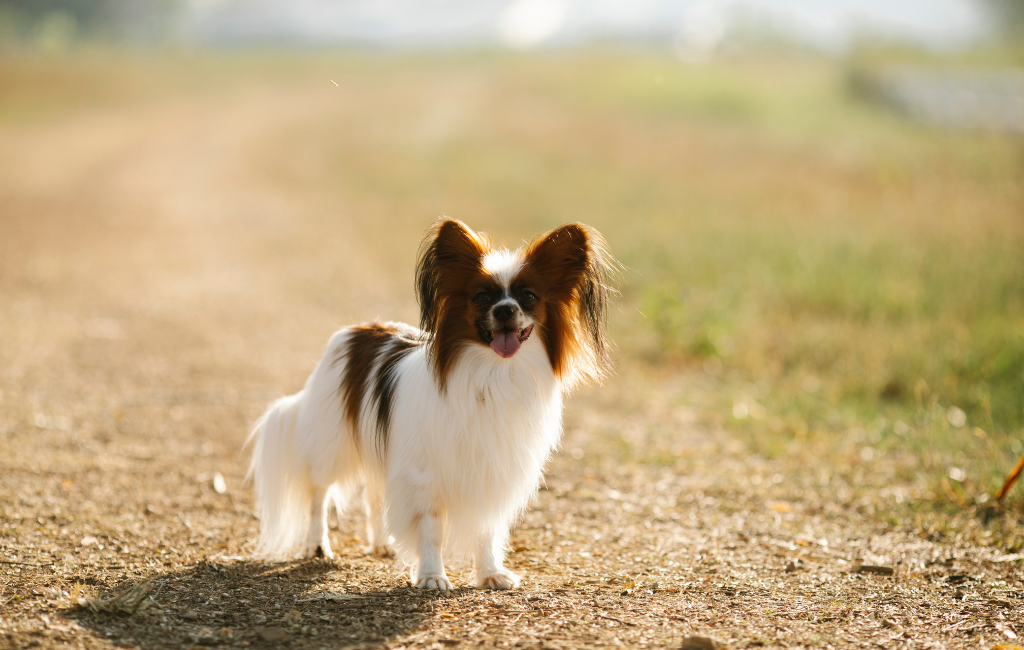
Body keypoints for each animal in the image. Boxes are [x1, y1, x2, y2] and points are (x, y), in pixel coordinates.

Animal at [247, 219, 614, 589]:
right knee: (319, 493)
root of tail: (357, 329)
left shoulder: (491, 471)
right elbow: (431, 529)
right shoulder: (424, 474)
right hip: (332, 445)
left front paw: (490, 573)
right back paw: (317, 544)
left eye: (529, 296)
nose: (505, 310)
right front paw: (432, 576)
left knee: (374, 494)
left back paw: (381, 543)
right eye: (481, 297)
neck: (493, 373)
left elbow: (486, 529)